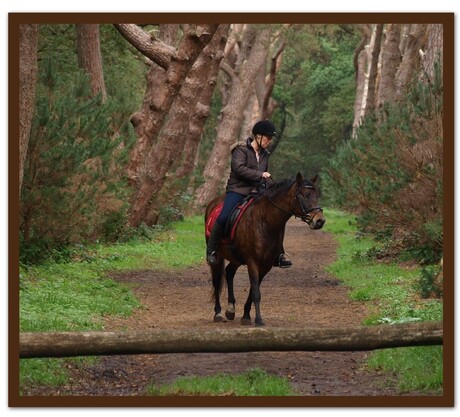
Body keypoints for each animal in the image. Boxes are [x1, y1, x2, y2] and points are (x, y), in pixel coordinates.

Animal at [203, 172, 326, 324]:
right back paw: (218, 313)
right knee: (217, 280)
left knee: (229, 272)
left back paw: (231, 309)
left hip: (236, 258)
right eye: (305, 195)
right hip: (218, 256)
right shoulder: (252, 262)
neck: (265, 221)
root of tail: (213, 203)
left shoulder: (265, 265)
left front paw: (246, 316)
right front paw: (258, 320)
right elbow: (256, 292)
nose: (320, 221)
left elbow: (253, 290)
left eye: (317, 195)